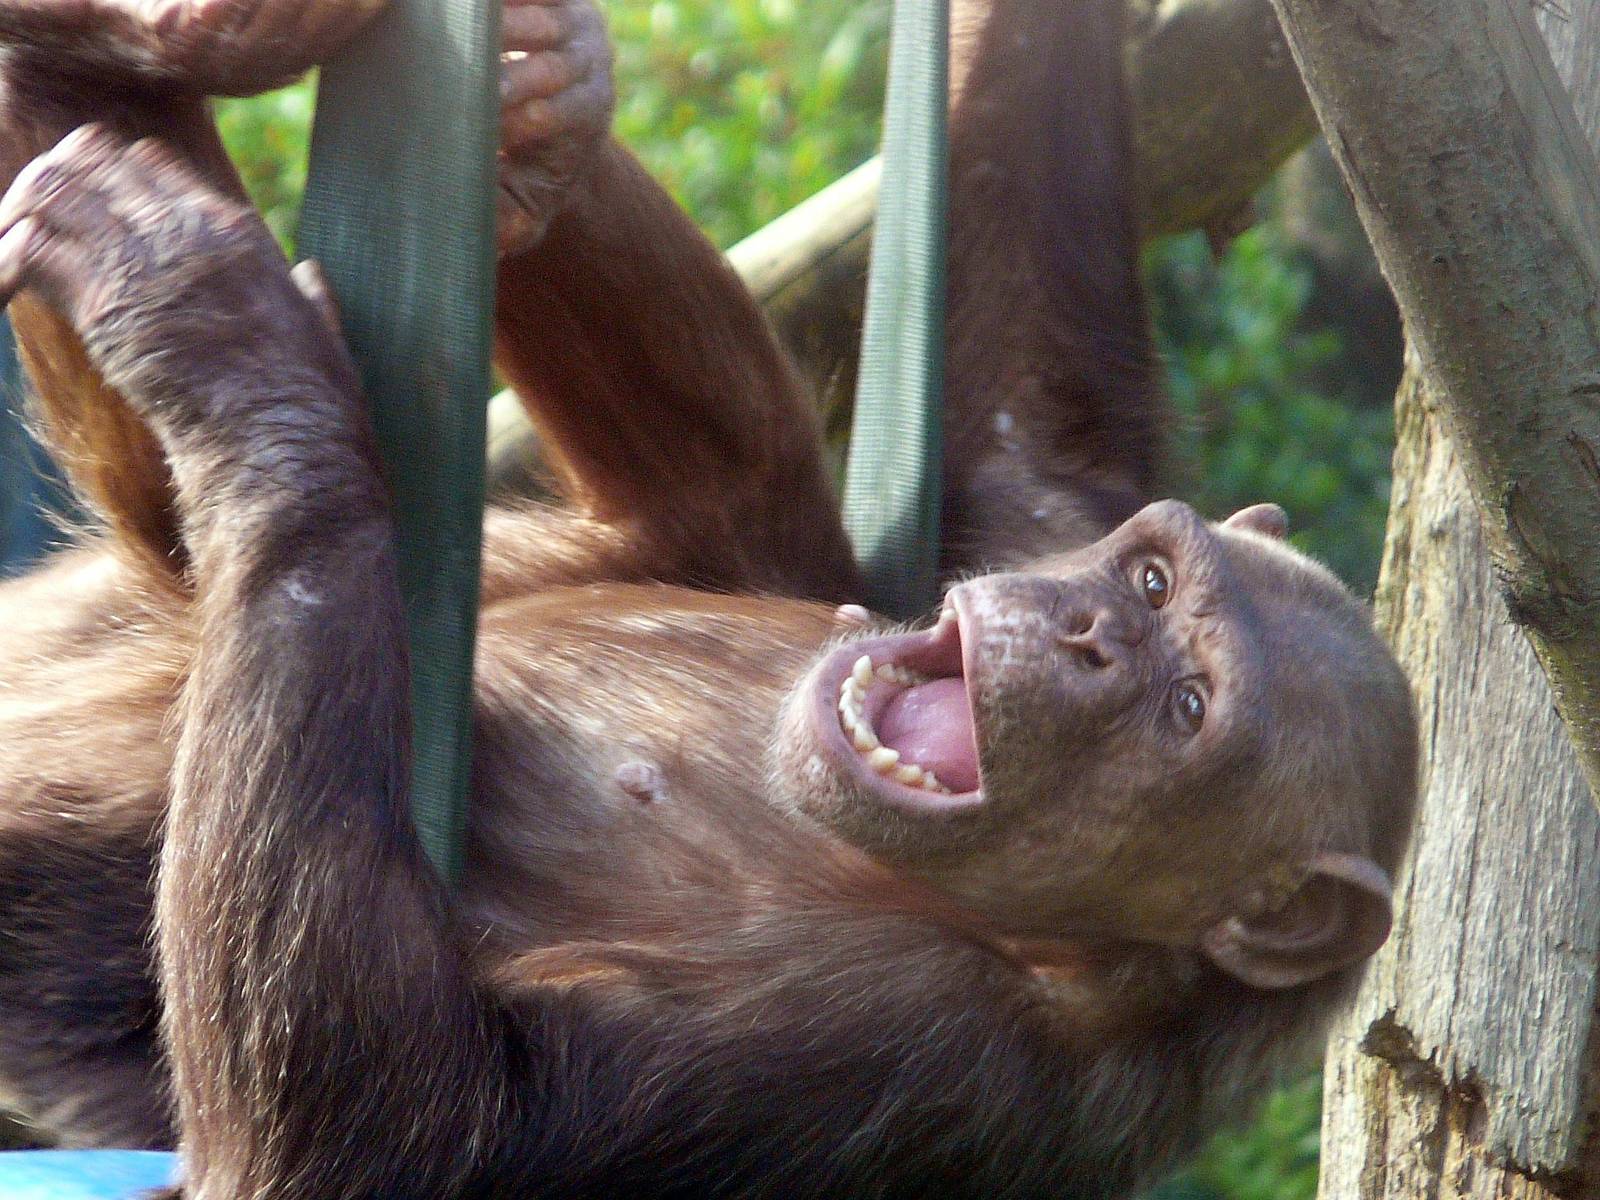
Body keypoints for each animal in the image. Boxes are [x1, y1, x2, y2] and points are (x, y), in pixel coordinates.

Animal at [0, 0, 1418, 1196]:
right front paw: (536, 101)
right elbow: (1011, 374)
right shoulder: (1040, 518)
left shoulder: (929, 1056)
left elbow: (381, 1129)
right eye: (1149, 579)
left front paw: (229, 345)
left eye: (1186, 709)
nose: (1090, 639)